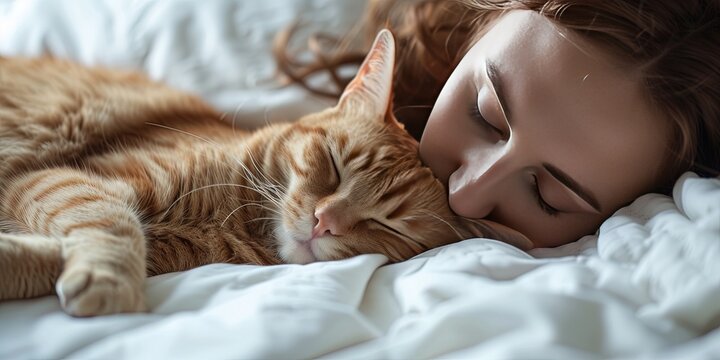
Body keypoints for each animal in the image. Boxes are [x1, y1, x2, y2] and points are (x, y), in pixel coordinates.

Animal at [0, 31, 524, 316]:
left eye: (387, 225)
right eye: (333, 166)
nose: (324, 222)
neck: (231, 223)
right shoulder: (67, 180)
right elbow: (113, 222)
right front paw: (109, 279)